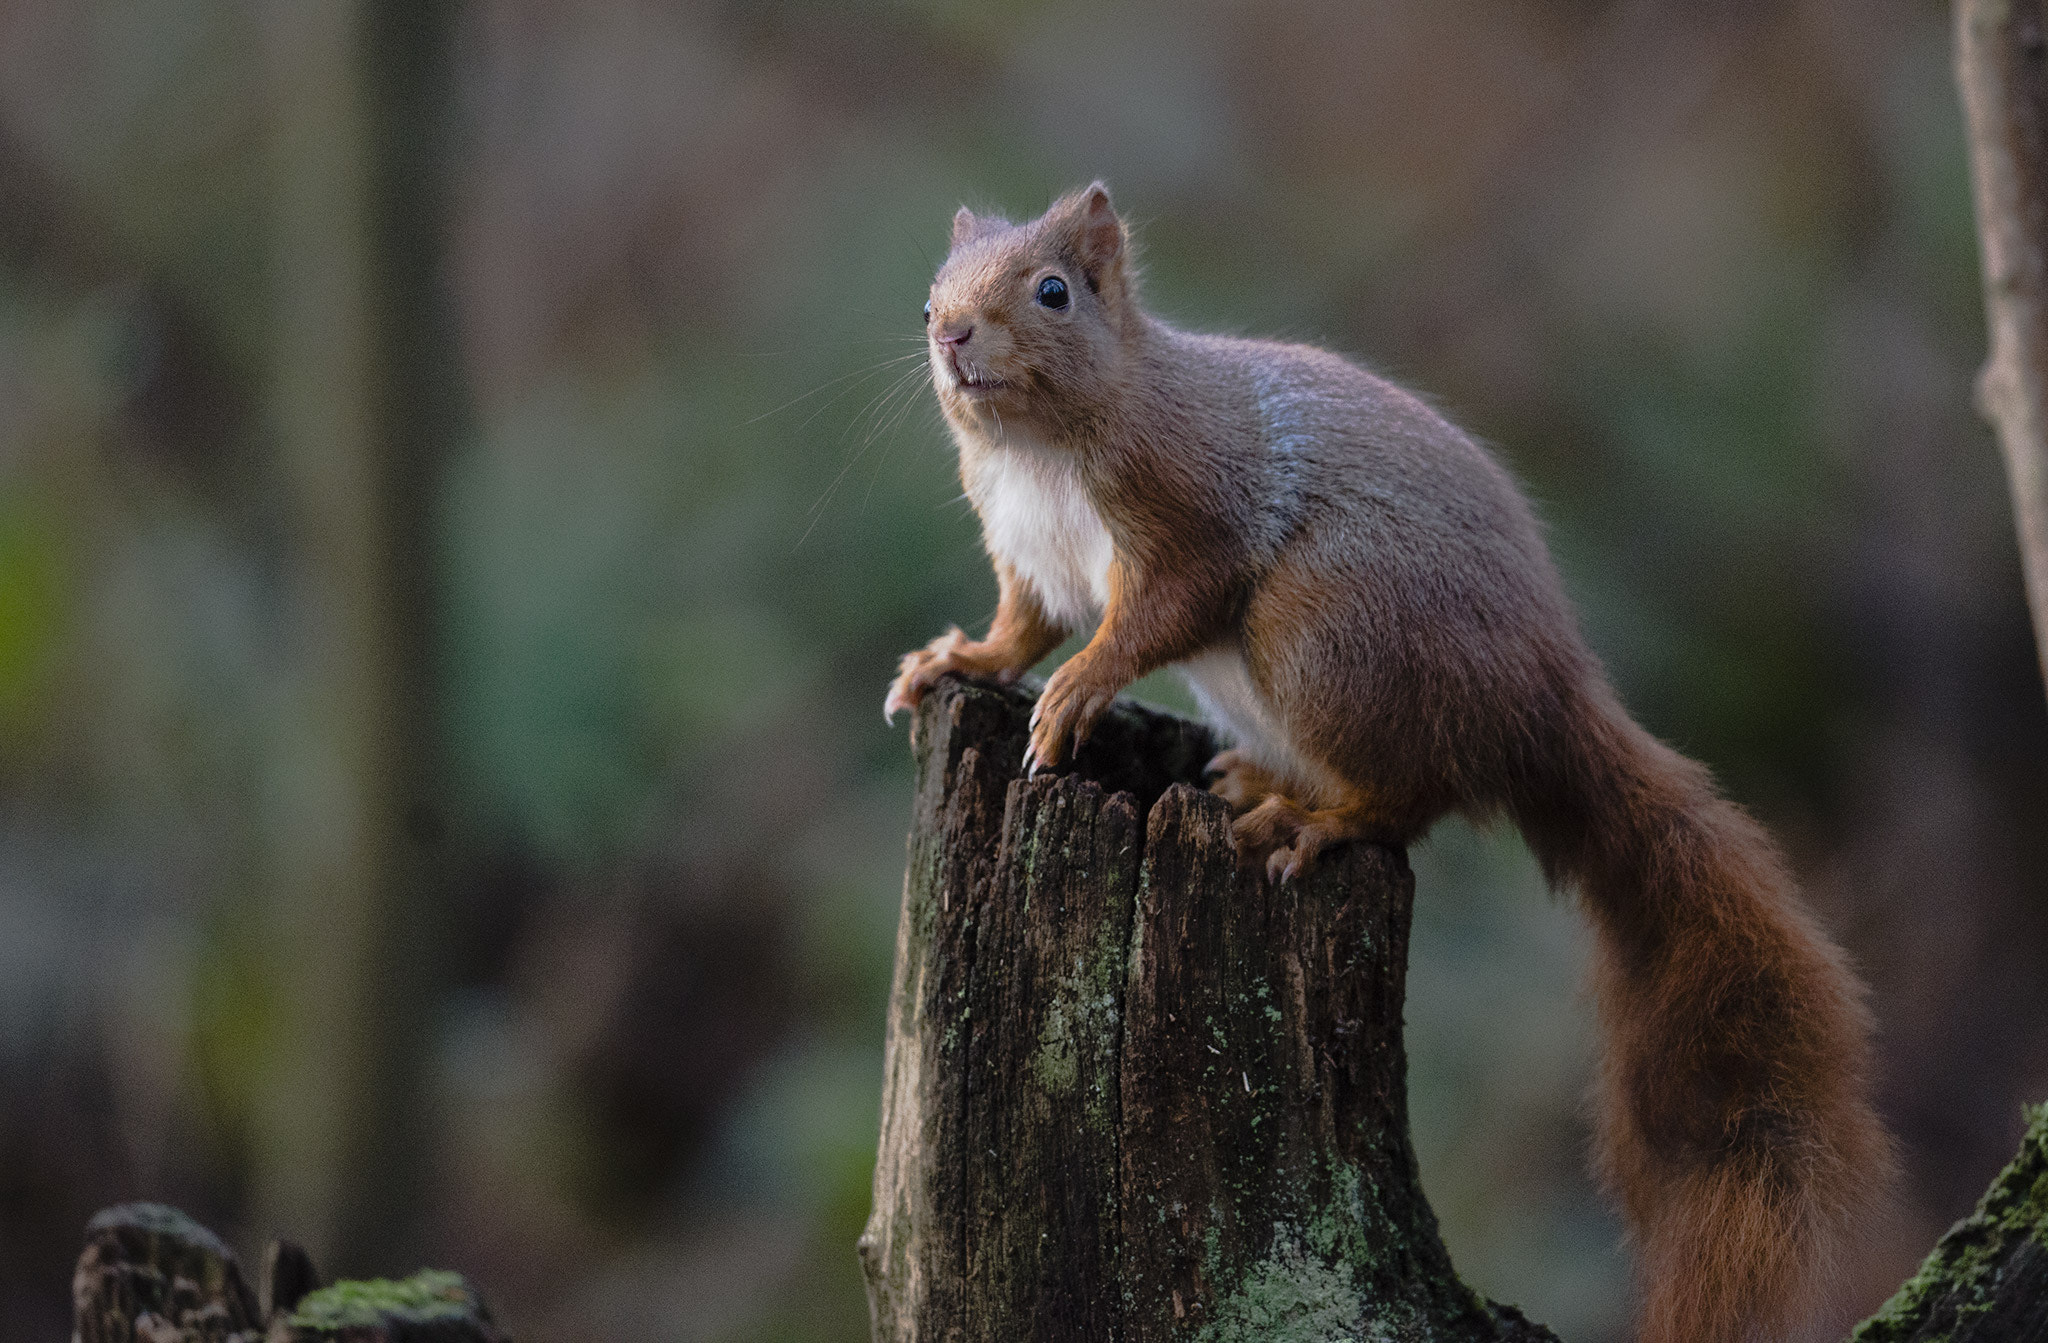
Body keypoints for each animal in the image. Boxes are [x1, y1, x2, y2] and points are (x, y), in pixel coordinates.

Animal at [888, 183, 1892, 1334]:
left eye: (1053, 292)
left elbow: (1158, 614)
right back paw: (1263, 779)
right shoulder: (1032, 555)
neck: (1037, 449)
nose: (953, 336)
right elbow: (1022, 626)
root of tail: (1542, 704)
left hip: (1325, 632)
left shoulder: (1189, 510)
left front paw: (1077, 690)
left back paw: (1315, 819)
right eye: (929, 297)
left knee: (1414, 798)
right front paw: (954, 660)